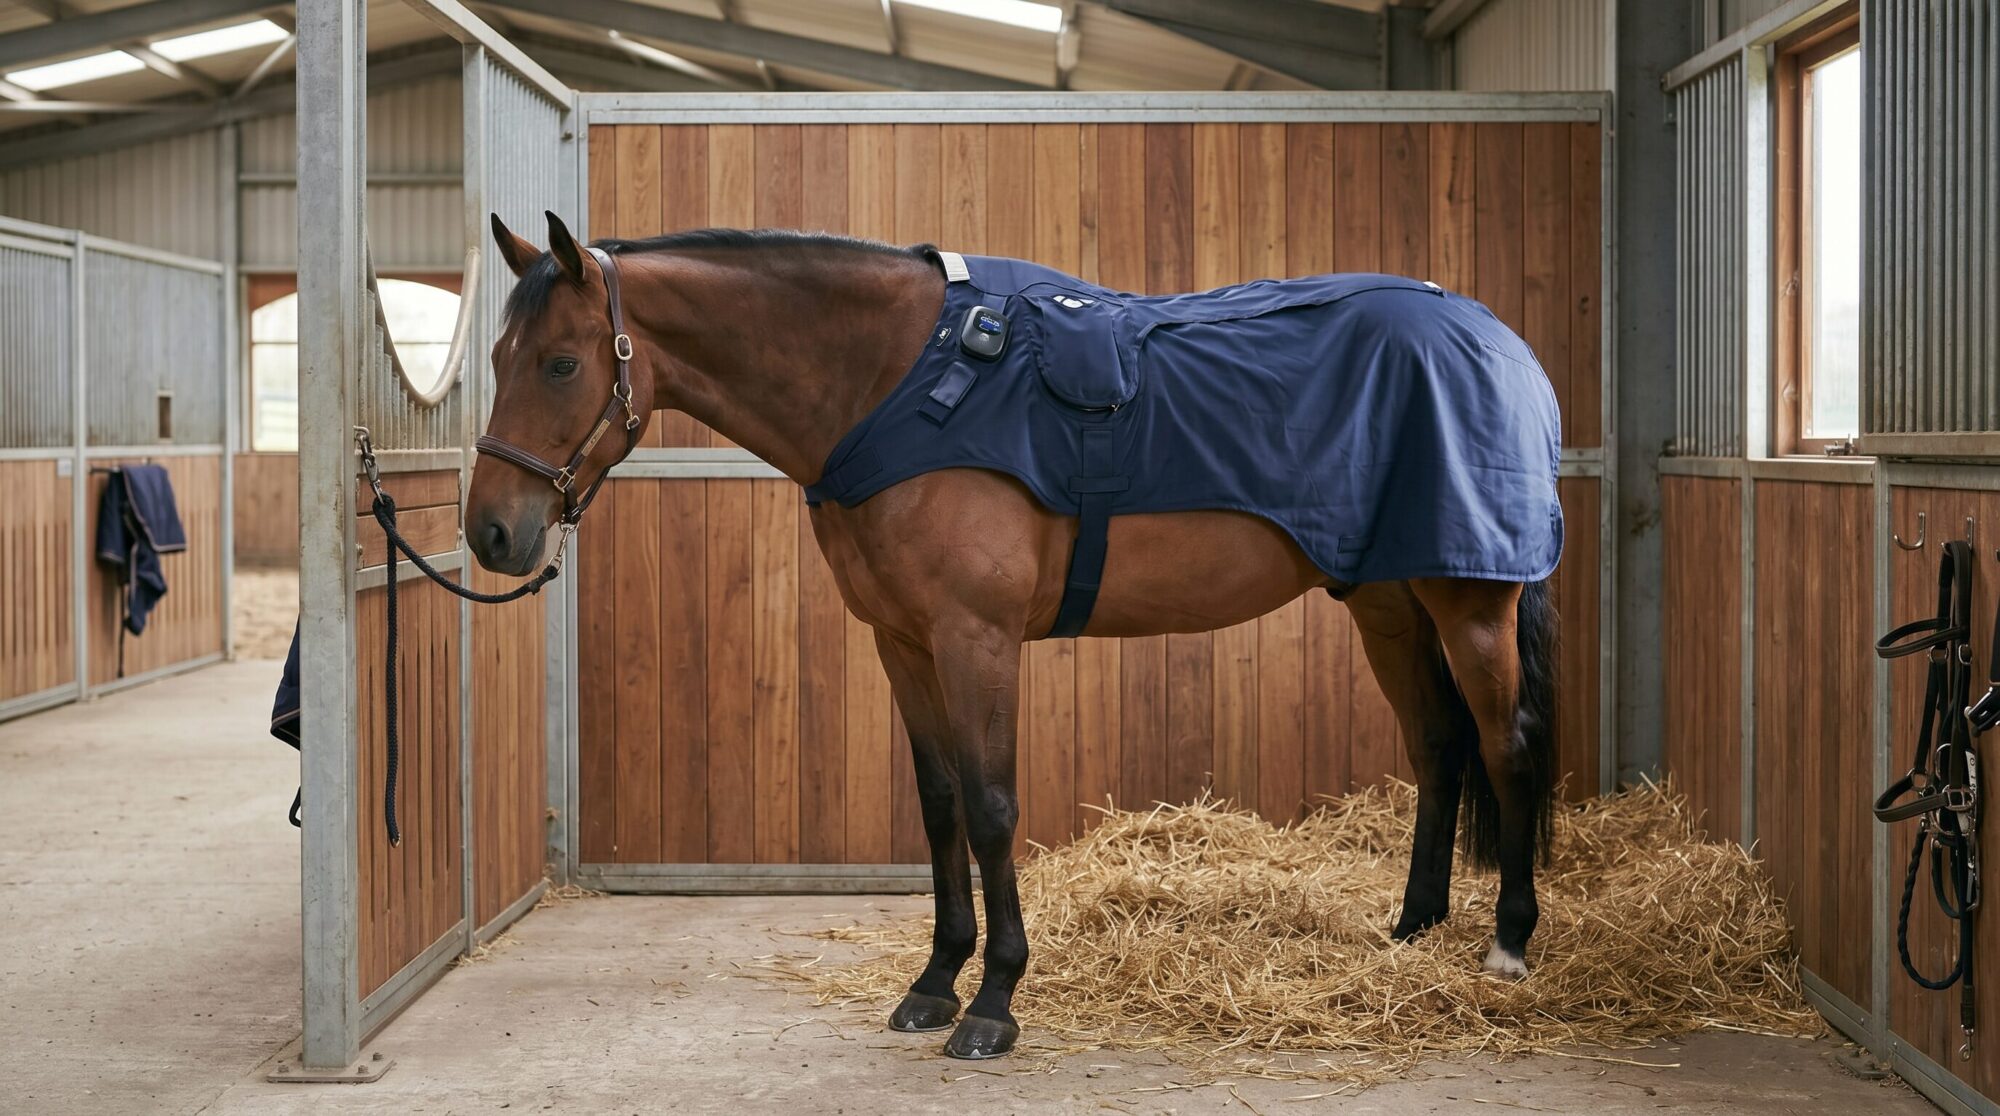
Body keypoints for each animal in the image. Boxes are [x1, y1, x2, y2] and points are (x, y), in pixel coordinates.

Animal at [466, 211, 1560, 1062]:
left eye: (560, 362)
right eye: (498, 359)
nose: (490, 534)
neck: (897, 384)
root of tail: (1497, 342)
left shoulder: (976, 639)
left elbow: (993, 807)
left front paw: (993, 1002)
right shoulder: (903, 643)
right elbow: (940, 804)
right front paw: (932, 982)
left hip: (1468, 602)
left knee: (1505, 749)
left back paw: (1507, 945)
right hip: (1387, 602)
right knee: (1438, 747)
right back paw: (1411, 929)